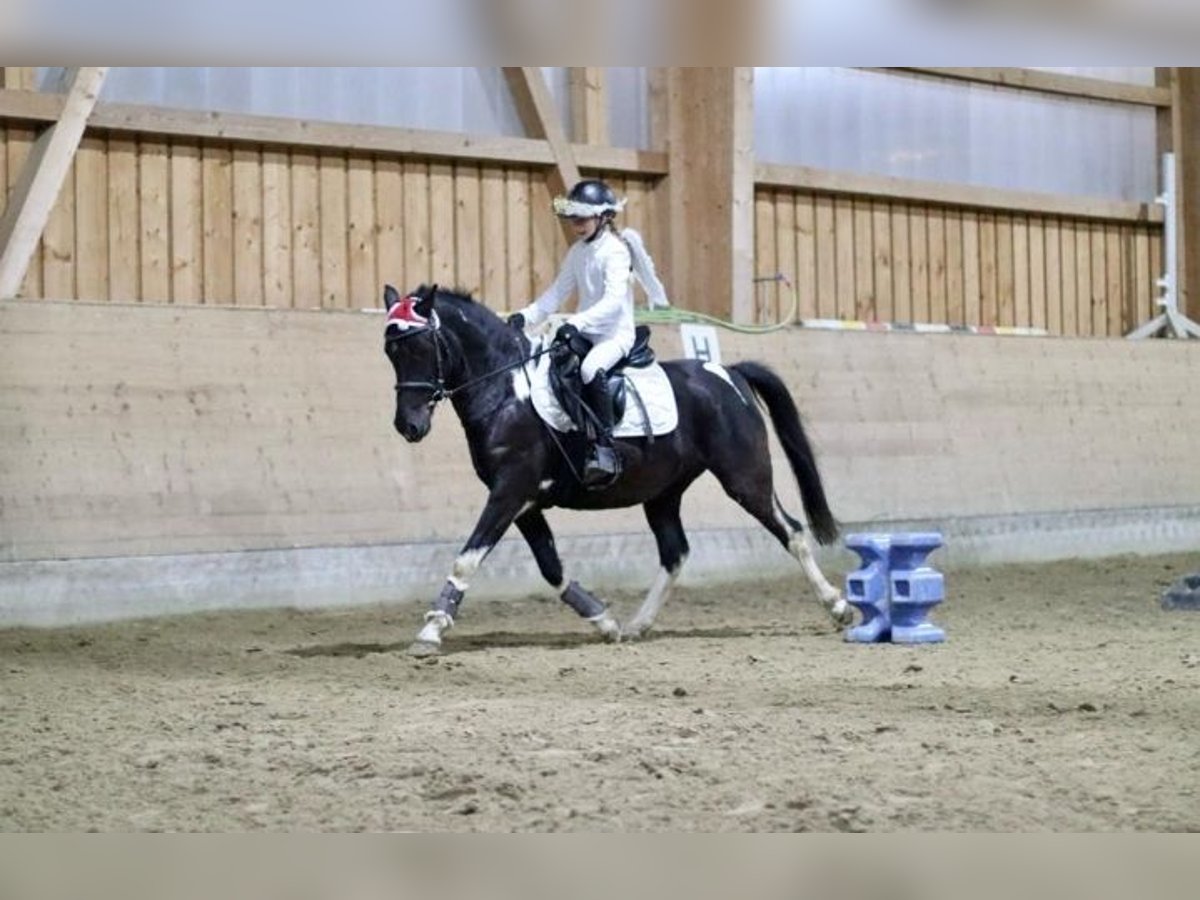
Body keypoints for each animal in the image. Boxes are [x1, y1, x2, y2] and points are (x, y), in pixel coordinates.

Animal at [384, 283, 854, 657]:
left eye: (423, 348)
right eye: (391, 352)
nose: (409, 426)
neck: (507, 392)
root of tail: (728, 373)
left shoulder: (510, 492)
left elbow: (467, 560)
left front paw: (430, 632)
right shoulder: (526, 503)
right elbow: (551, 568)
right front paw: (603, 619)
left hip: (745, 477)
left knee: (791, 531)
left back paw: (839, 607)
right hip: (663, 493)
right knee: (675, 552)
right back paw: (635, 626)